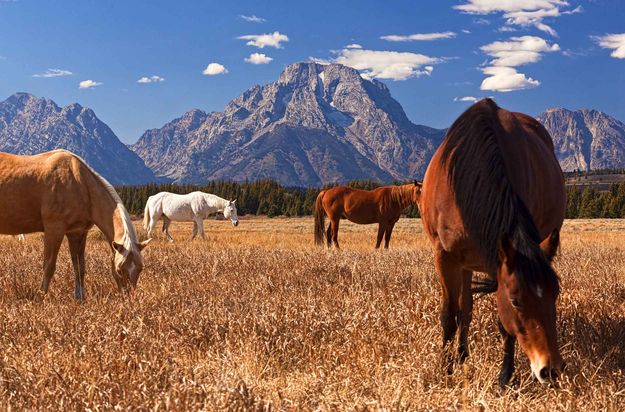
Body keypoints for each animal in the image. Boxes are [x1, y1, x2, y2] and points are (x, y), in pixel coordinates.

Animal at [0, 150, 151, 300]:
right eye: (119, 269)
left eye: (141, 268)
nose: (129, 298)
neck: (80, 185)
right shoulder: (54, 230)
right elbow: (49, 266)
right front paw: (42, 296)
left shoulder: (77, 232)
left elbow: (79, 267)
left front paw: (80, 298)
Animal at [420, 99, 564, 386]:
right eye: (516, 301)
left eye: (555, 294)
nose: (550, 369)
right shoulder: (445, 257)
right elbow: (448, 315)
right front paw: (445, 369)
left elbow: (502, 322)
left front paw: (505, 377)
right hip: (463, 263)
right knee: (464, 310)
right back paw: (460, 356)